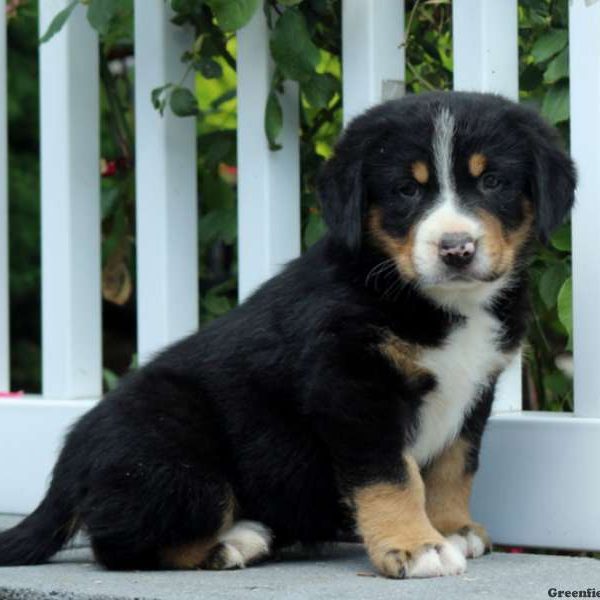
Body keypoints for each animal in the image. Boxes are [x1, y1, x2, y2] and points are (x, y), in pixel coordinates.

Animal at [0, 92, 576, 576]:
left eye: (493, 183)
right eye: (406, 190)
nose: (456, 248)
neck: (440, 303)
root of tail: (72, 455)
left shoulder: (474, 389)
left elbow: (455, 466)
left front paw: (453, 529)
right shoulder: (352, 386)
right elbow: (393, 474)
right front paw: (417, 547)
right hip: (175, 457)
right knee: (118, 544)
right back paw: (234, 543)